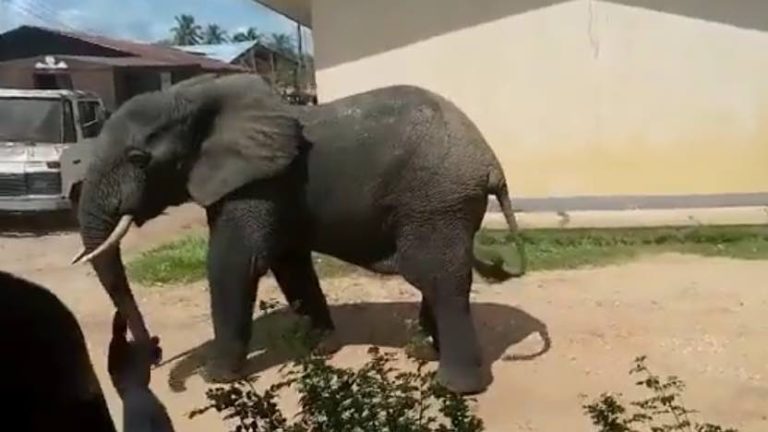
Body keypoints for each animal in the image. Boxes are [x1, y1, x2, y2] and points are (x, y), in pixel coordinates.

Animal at [72, 72, 527, 395]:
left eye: (139, 158)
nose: (154, 351)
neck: (198, 97)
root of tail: (491, 164)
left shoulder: (259, 184)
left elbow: (234, 263)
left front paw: (215, 378)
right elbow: (287, 261)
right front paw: (320, 349)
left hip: (437, 200)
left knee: (436, 276)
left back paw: (456, 388)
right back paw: (422, 351)